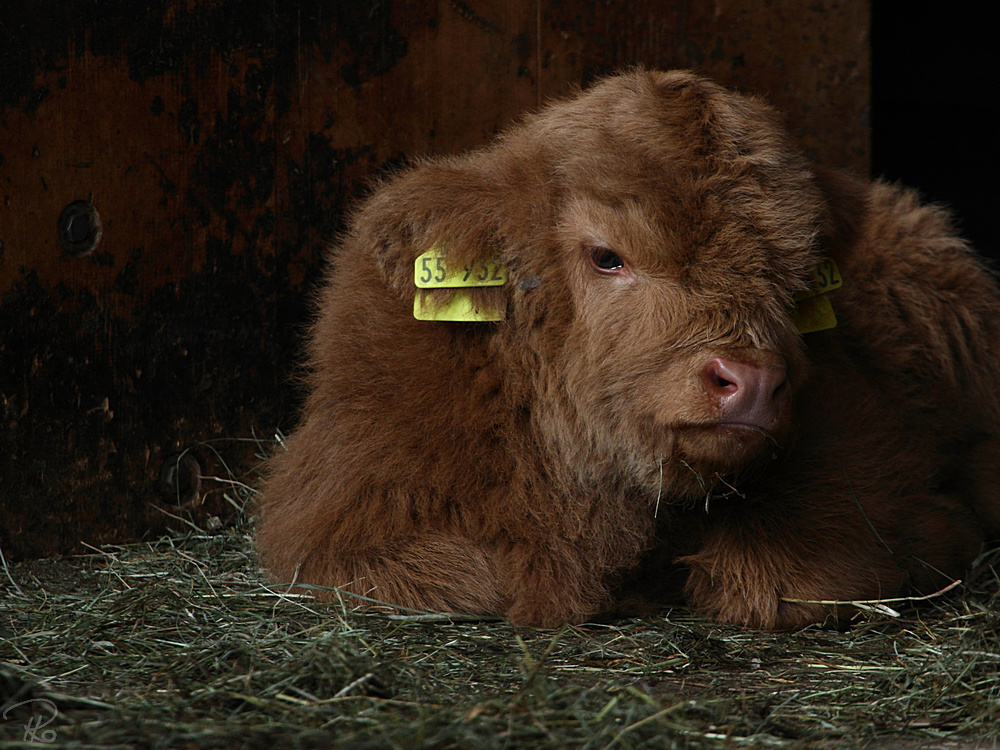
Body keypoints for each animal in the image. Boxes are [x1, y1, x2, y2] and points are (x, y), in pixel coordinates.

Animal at [256, 72, 1000, 636]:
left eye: (796, 279)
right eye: (607, 257)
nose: (751, 380)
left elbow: (785, 574)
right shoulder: (336, 511)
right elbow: (477, 581)